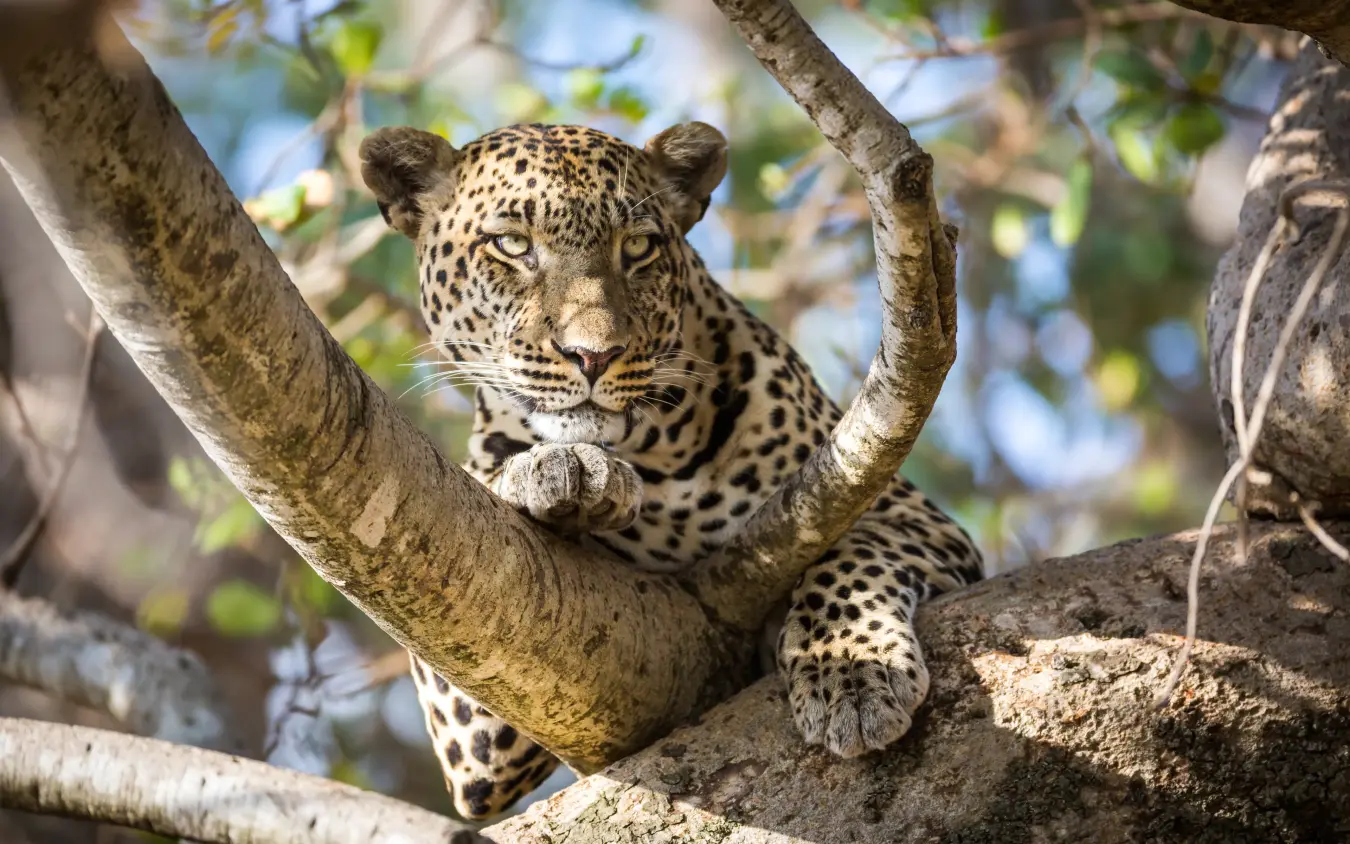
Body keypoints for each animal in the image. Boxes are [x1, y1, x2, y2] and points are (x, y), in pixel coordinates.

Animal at [358, 120, 984, 821]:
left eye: (638, 247)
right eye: (512, 245)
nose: (593, 355)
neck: (652, 458)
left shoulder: (912, 513)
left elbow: (850, 555)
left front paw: (849, 672)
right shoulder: (474, 742)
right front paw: (553, 474)